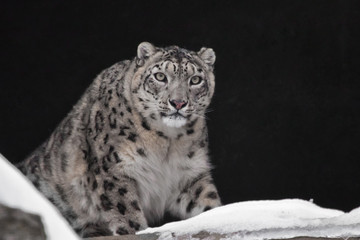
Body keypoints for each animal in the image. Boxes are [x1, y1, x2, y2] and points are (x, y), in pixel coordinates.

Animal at [16, 42, 221, 237]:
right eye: (160, 76)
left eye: (195, 80)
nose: (178, 102)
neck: (167, 143)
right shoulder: (113, 169)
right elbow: (126, 210)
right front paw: (136, 230)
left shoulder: (190, 175)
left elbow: (208, 201)